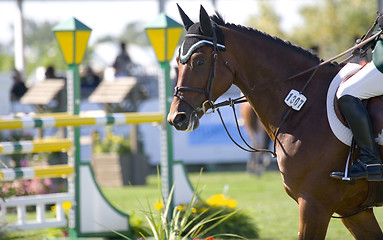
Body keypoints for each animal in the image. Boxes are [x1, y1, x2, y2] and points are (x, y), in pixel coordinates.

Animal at [169, 4, 383, 240]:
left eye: (199, 61)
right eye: (177, 62)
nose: (177, 118)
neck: (304, 106)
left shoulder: (314, 205)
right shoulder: (353, 210)